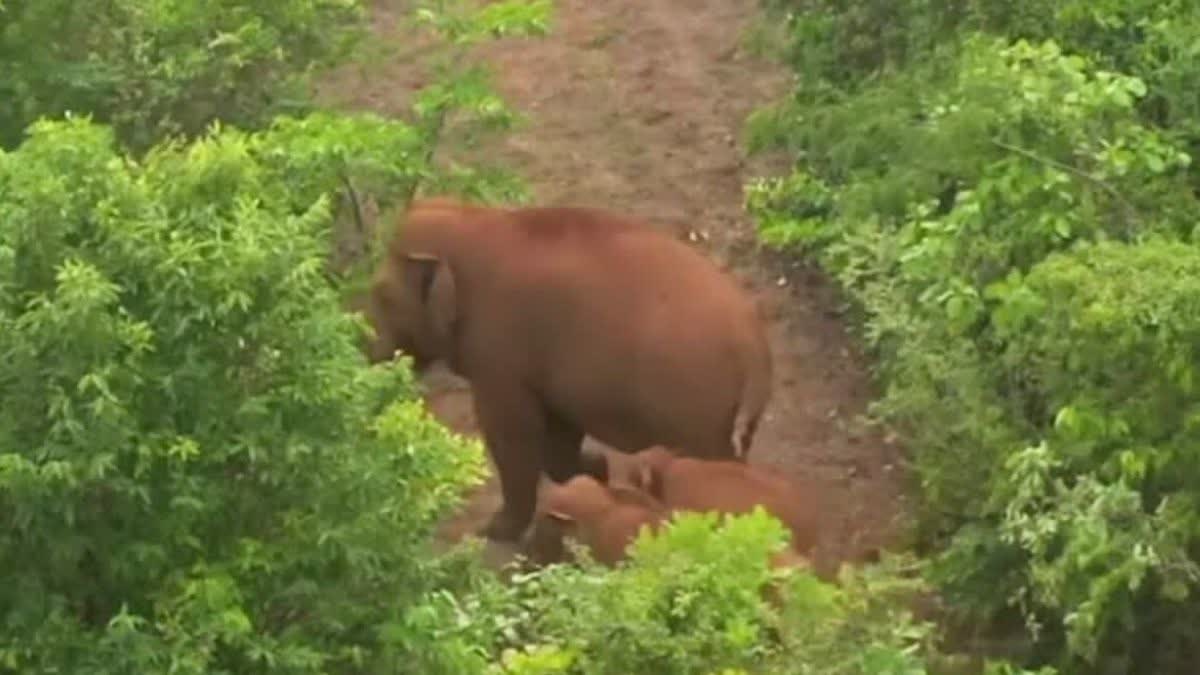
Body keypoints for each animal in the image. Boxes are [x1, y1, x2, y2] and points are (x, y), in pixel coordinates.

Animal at [362, 197, 772, 541]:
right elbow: (558, 435)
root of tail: (753, 349)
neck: (477, 220)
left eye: (382, 294)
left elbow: (511, 432)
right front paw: (596, 471)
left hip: (697, 415)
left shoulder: (501, 356)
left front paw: (496, 531)